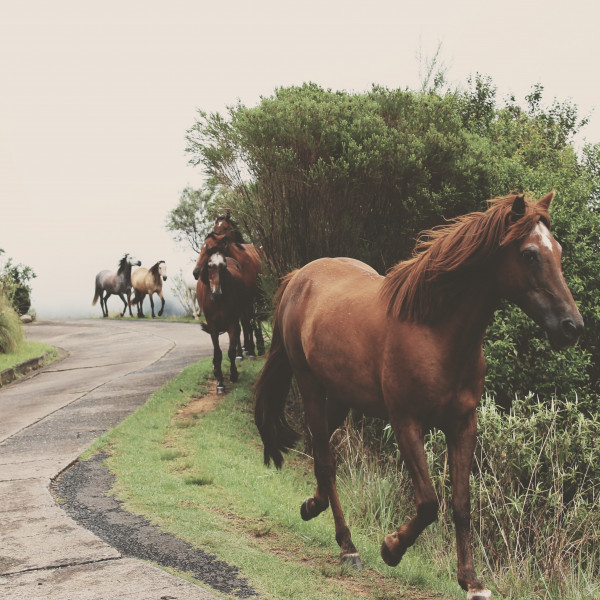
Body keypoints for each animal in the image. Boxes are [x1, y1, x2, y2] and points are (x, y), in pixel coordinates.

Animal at [196, 245, 245, 392]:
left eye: (224, 266)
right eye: (210, 266)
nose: (216, 293)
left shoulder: (232, 321)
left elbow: (231, 351)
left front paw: (233, 374)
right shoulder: (212, 325)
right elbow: (217, 352)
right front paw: (220, 382)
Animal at [253, 193, 580, 600]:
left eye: (559, 250)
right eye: (530, 254)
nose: (572, 327)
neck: (434, 331)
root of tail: (300, 276)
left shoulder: (463, 424)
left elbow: (461, 503)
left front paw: (471, 581)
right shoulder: (406, 422)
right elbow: (428, 503)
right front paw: (391, 548)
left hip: (342, 397)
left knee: (321, 450)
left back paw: (312, 506)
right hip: (311, 385)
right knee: (326, 461)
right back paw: (348, 546)